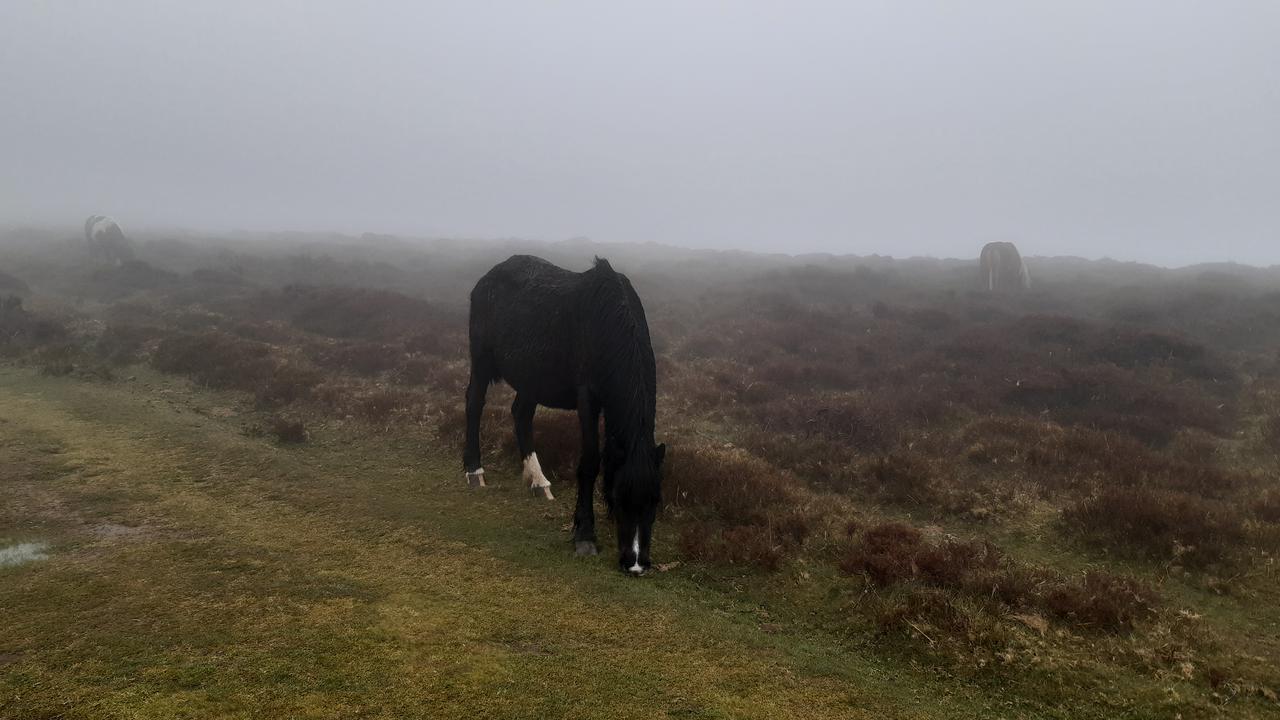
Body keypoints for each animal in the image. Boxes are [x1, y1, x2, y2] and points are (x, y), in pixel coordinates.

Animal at [463, 252, 665, 571]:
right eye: (621, 498)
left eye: (655, 501)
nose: (635, 564)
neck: (608, 321)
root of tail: (488, 277)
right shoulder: (588, 400)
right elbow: (590, 463)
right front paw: (585, 534)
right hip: (482, 360)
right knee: (474, 404)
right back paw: (474, 471)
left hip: (531, 376)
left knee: (521, 414)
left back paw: (539, 481)